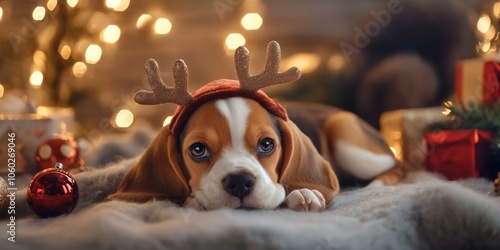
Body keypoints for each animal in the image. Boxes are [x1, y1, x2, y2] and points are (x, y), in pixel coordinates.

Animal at [107, 41, 404, 211]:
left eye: (267, 144)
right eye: (198, 150)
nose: (240, 182)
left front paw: (305, 191)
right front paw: (194, 201)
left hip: (349, 140)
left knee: (398, 166)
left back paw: (375, 187)